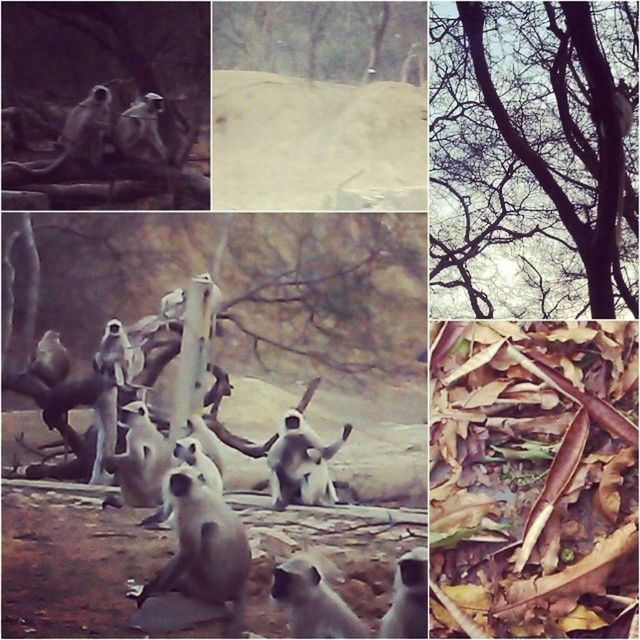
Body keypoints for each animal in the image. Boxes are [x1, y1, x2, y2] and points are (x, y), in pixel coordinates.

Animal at [136, 462, 251, 636]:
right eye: (175, 480)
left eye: (183, 482)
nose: (176, 487)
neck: (197, 494)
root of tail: (240, 583)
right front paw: (150, 587)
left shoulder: (187, 513)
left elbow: (188, 552)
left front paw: (155, 591)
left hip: (211, 584)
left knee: (208, 530)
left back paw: (185, 588)